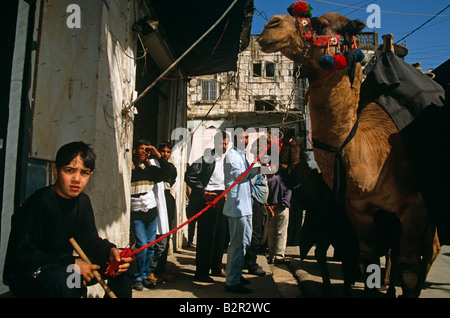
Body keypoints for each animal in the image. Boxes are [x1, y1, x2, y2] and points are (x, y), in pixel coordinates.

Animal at [258, 1, 442, 298]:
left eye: (320, 24)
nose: (270, 26)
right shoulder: (358, 212)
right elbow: (366, 262)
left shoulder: (415, 209)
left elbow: (409, 271)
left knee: (429, 251)